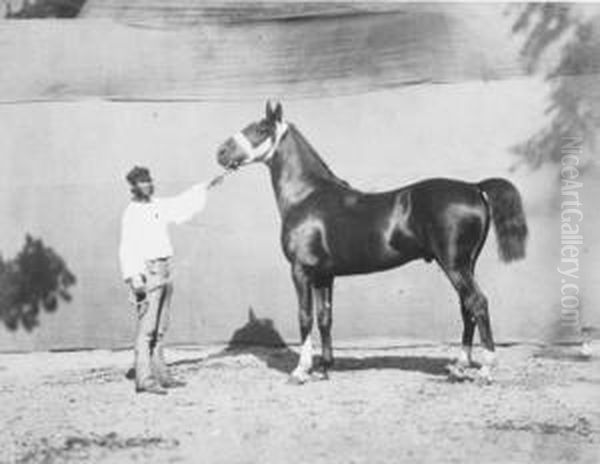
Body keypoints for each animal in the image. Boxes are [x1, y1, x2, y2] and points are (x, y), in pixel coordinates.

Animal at [217, 101, 528, 384]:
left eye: (260, 129)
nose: (220, 152)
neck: (306, 196)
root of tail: (475, 187)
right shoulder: (324, 276)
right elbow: (325, 317)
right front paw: (325, 367)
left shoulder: (301, 271)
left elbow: (305, 317)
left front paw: (301, 371)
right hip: (465, 265)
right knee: (467, 308)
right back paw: (459, 367)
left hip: (454, 265)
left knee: (477, 303)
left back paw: (485, 369)